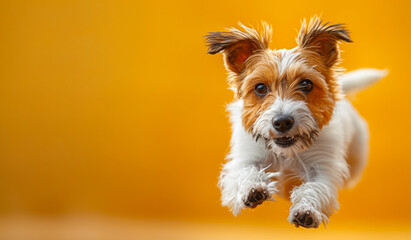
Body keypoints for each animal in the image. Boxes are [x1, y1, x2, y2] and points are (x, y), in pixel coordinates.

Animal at [205, 16, 386, 227]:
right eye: (260, 88)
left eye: (306, 84)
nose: (282, 122)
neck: (286, 154)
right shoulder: (244, 159)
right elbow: (245, 172)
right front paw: (253, 189)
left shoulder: (322, 169)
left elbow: (315, 188)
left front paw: (306, 211)